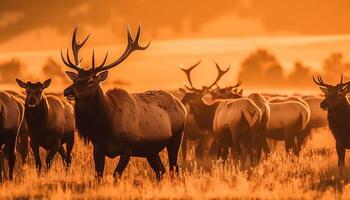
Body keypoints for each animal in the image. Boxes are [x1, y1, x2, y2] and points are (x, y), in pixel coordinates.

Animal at [60, 25, 186, 180]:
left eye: (91, 81)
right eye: (75, 79)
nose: (67, 91)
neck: (106, 126)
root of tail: (182, 106)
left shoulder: (128, 147)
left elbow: (116, 174)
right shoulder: (98, 147)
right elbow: (98, 175)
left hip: (176, 137)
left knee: (174, 169)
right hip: (151, 149)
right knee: (160, 170)